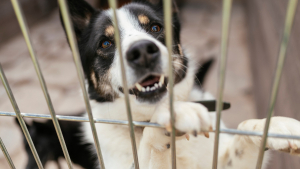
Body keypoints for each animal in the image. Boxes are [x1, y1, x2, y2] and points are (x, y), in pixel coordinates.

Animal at [19, 0, 300, 168]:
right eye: (106, 43)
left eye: (155, 27)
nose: (142, 51)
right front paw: (174, 113)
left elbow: (244, 133)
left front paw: (273, 126)